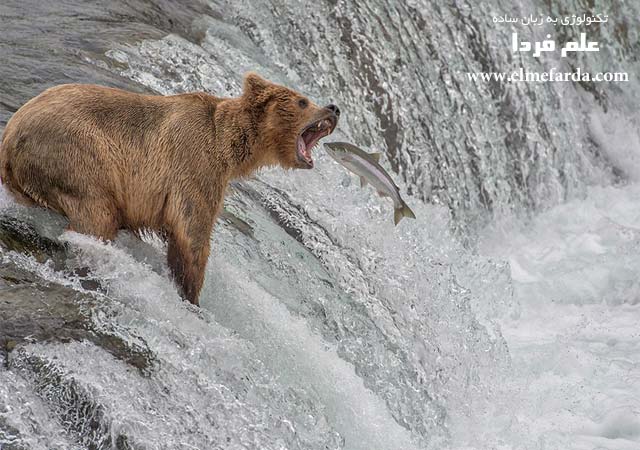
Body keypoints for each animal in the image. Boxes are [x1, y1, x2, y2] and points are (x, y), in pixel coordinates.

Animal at [0, 74, 340, 306]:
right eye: (302, 101)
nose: (334, 107)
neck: (228, 146)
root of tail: (9, 138)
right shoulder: (194, 164)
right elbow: (191, 233)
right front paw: (191, 293)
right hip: (74, 153)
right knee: (96, 213)